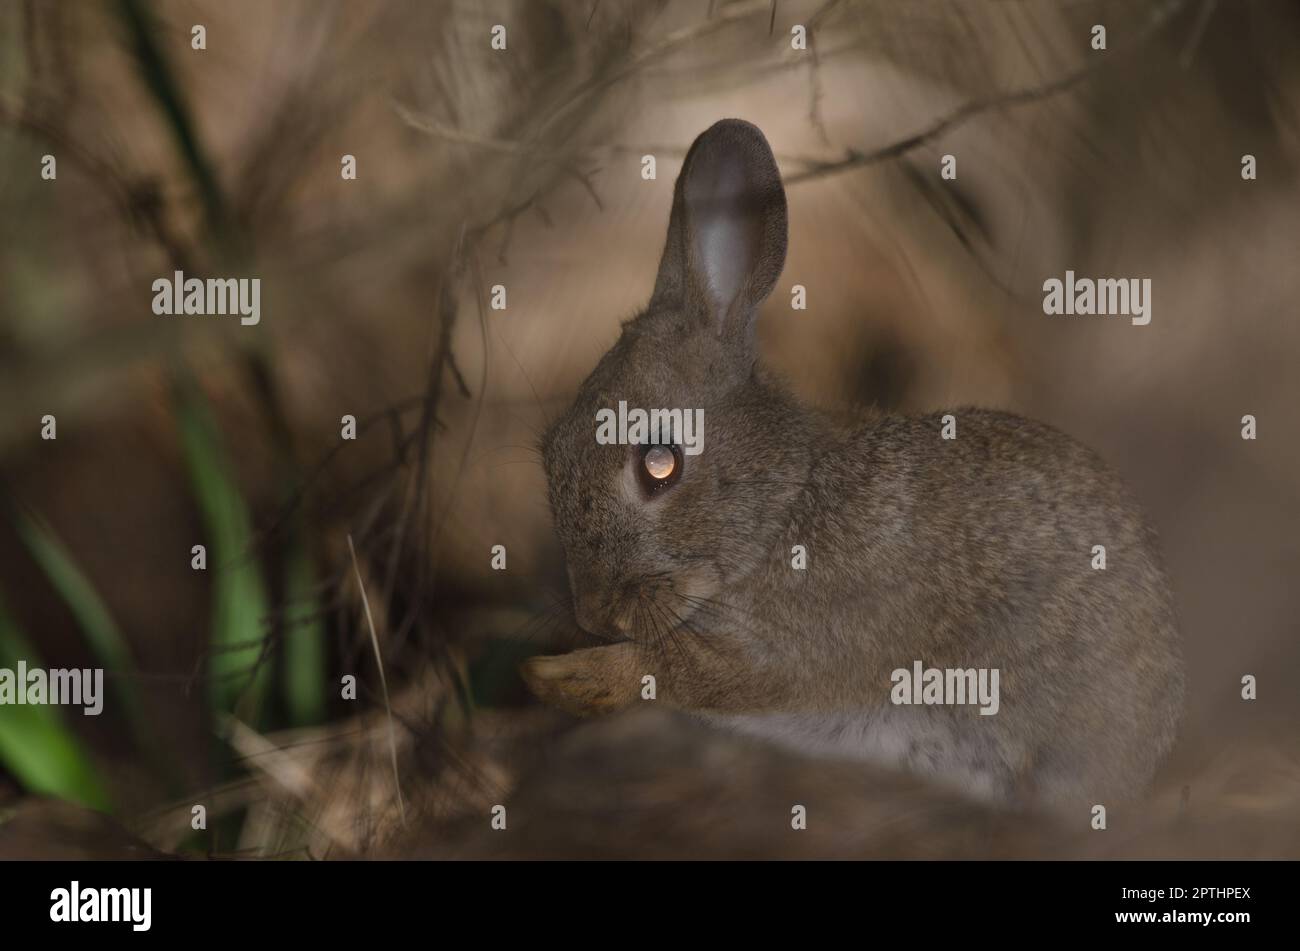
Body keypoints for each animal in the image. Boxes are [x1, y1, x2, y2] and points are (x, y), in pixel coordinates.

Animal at [520, 118, 1184, 809]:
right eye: (550, 451)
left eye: (659, 464)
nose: (594, 614)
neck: (783, 503)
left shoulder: (795, 650)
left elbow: (681, 669)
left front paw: (560, 677)